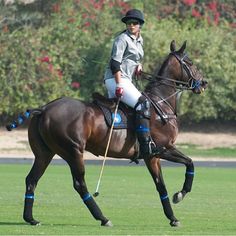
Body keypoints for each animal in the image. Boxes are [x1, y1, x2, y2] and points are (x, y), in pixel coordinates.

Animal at [6, 40, 206, 227]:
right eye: (190, 62)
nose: (204, 83)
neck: (160, 103)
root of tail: (43, 109)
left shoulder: (154, 156)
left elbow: (162, 185)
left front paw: (173, 216)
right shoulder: (161, 149)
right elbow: (189, 164)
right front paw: (180, 195)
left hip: (45, 153)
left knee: (31, 179)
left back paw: (31, 218)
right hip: (73, 150)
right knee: (79, 184)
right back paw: (103, 218)